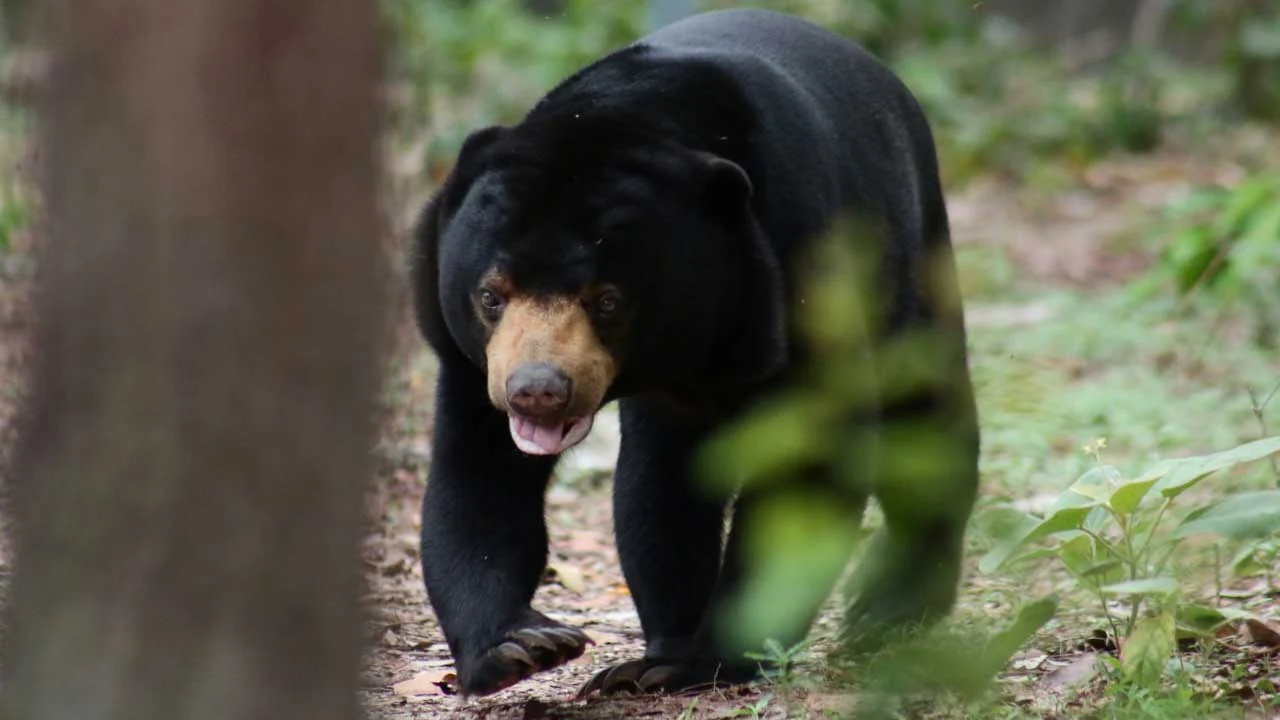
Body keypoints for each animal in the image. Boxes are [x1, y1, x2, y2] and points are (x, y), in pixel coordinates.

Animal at [409, 7, 980, 698]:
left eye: (607, 301)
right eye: (492, 294)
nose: (538, 390)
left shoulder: (795, 275)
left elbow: (808, 466)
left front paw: (719, 657)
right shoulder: (470, 362)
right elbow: (480, 477)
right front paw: (523, 646)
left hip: (912, 253)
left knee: (926, 417)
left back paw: (886, 614)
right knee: (657, 482)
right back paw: (656, 653)